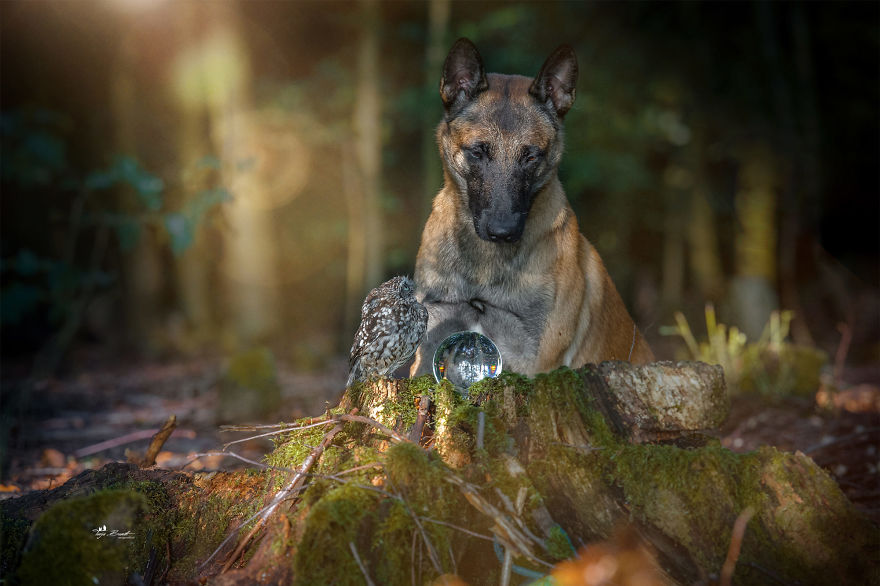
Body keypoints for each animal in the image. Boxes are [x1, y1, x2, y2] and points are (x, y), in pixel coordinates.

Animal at [410, 37, 648, 374]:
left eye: (531, 156)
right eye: (477, 152)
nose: (502, 231)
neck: (485, 268)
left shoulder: (536, 359)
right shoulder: (431, 344)